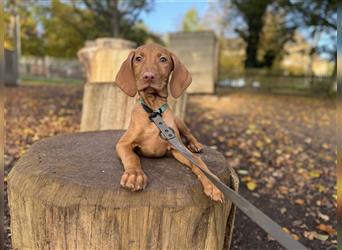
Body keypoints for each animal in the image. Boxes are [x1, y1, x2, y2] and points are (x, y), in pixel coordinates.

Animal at [114, 44, 224, 202]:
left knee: (188, 133)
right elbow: (132, 157)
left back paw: (195, 144)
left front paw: (213, 184)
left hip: (178, 121)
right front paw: (134, 175)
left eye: (163, 59)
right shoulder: (123, 143)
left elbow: (199, 163)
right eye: (138, 59)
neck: (154, 112)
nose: (148, 76)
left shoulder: (178, 148)